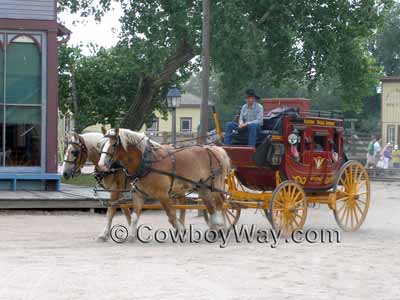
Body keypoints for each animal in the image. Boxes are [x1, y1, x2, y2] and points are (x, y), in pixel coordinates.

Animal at [98, 127, 233, 238]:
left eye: (114, 145)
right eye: (102, 145)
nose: (101, 165)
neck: (146, 161)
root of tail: (213, 149)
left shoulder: (162, 194)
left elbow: (171, 215)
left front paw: (181, 231)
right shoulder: (138, 194)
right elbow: (135, 216)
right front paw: (131, 235)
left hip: (213, 185)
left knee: (220, 204)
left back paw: (221, 226)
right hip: (203, 187)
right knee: (211, 207)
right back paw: (215, 228)